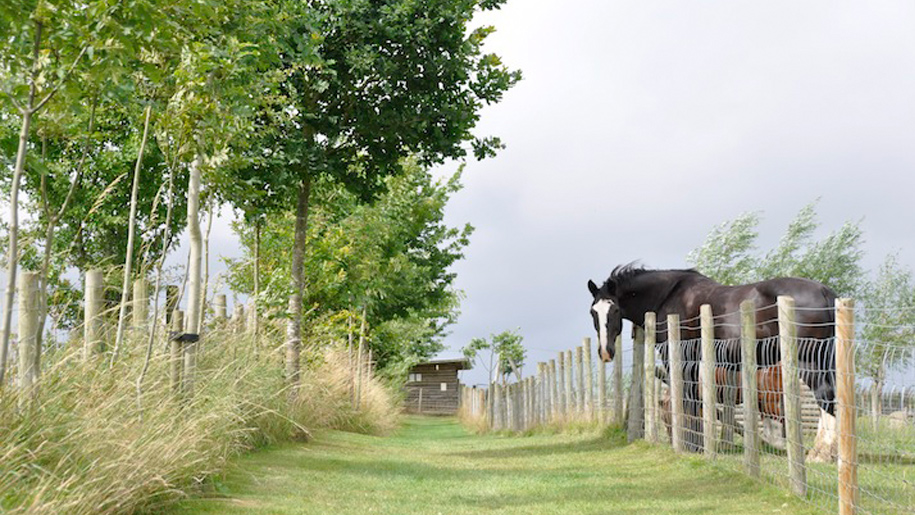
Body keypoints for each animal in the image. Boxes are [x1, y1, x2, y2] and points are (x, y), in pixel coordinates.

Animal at [592, 264, 840, 462]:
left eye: (614, 308)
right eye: (593, 312)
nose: (605, 352)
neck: (668, 296)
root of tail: (824, 292)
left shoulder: (683, 362)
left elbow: (689, 402)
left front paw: (693, 446)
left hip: (810, 361)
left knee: (826, 399)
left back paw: (820, 455)